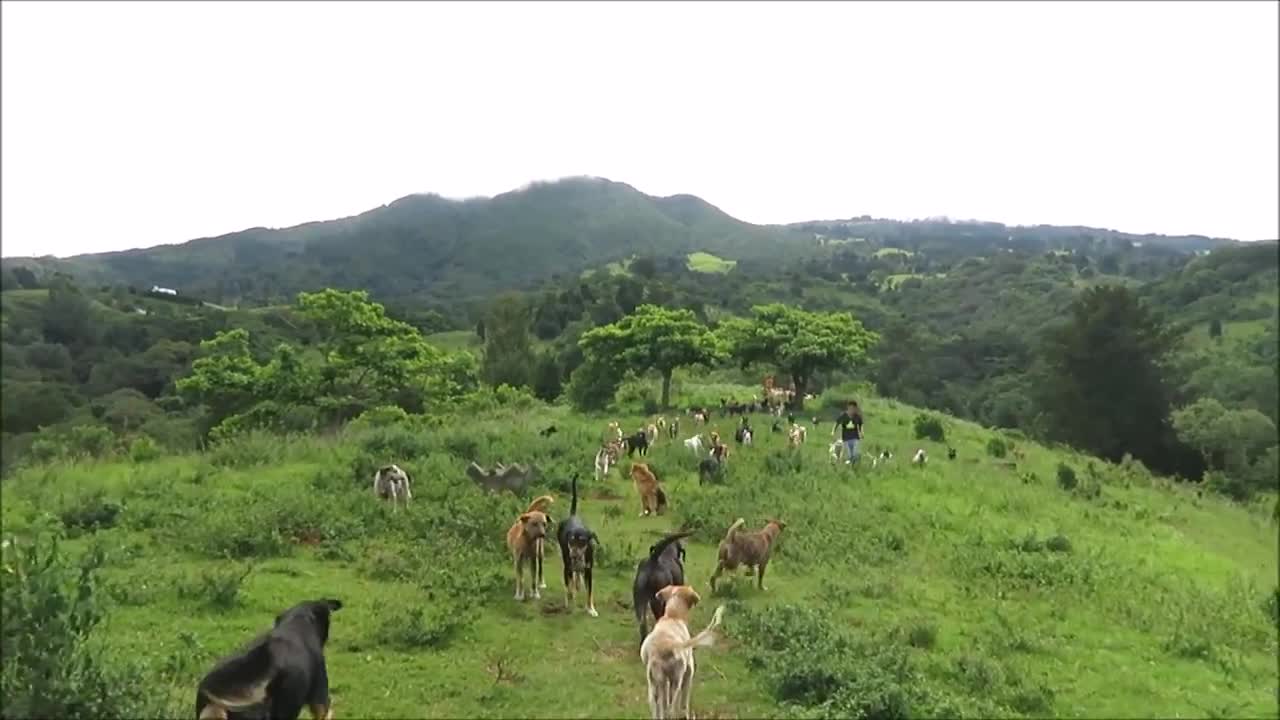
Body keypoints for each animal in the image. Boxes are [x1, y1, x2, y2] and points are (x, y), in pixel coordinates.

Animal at [555, 471, 599, 617]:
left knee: (578, 575)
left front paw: (591, 609)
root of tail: (572, 515)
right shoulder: (567, 568)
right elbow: (568, 589)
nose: (573, 555)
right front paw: (570, 603)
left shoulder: (589, 571)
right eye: (571, 540)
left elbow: (589, 593)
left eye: (582, 541)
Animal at [637, 584, 721, 717]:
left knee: (658, 708)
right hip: (676, 680)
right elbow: (684, 703)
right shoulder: (689, 672)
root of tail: (667, 646)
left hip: (655, 683)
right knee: (670, 707)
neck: (672, 616)